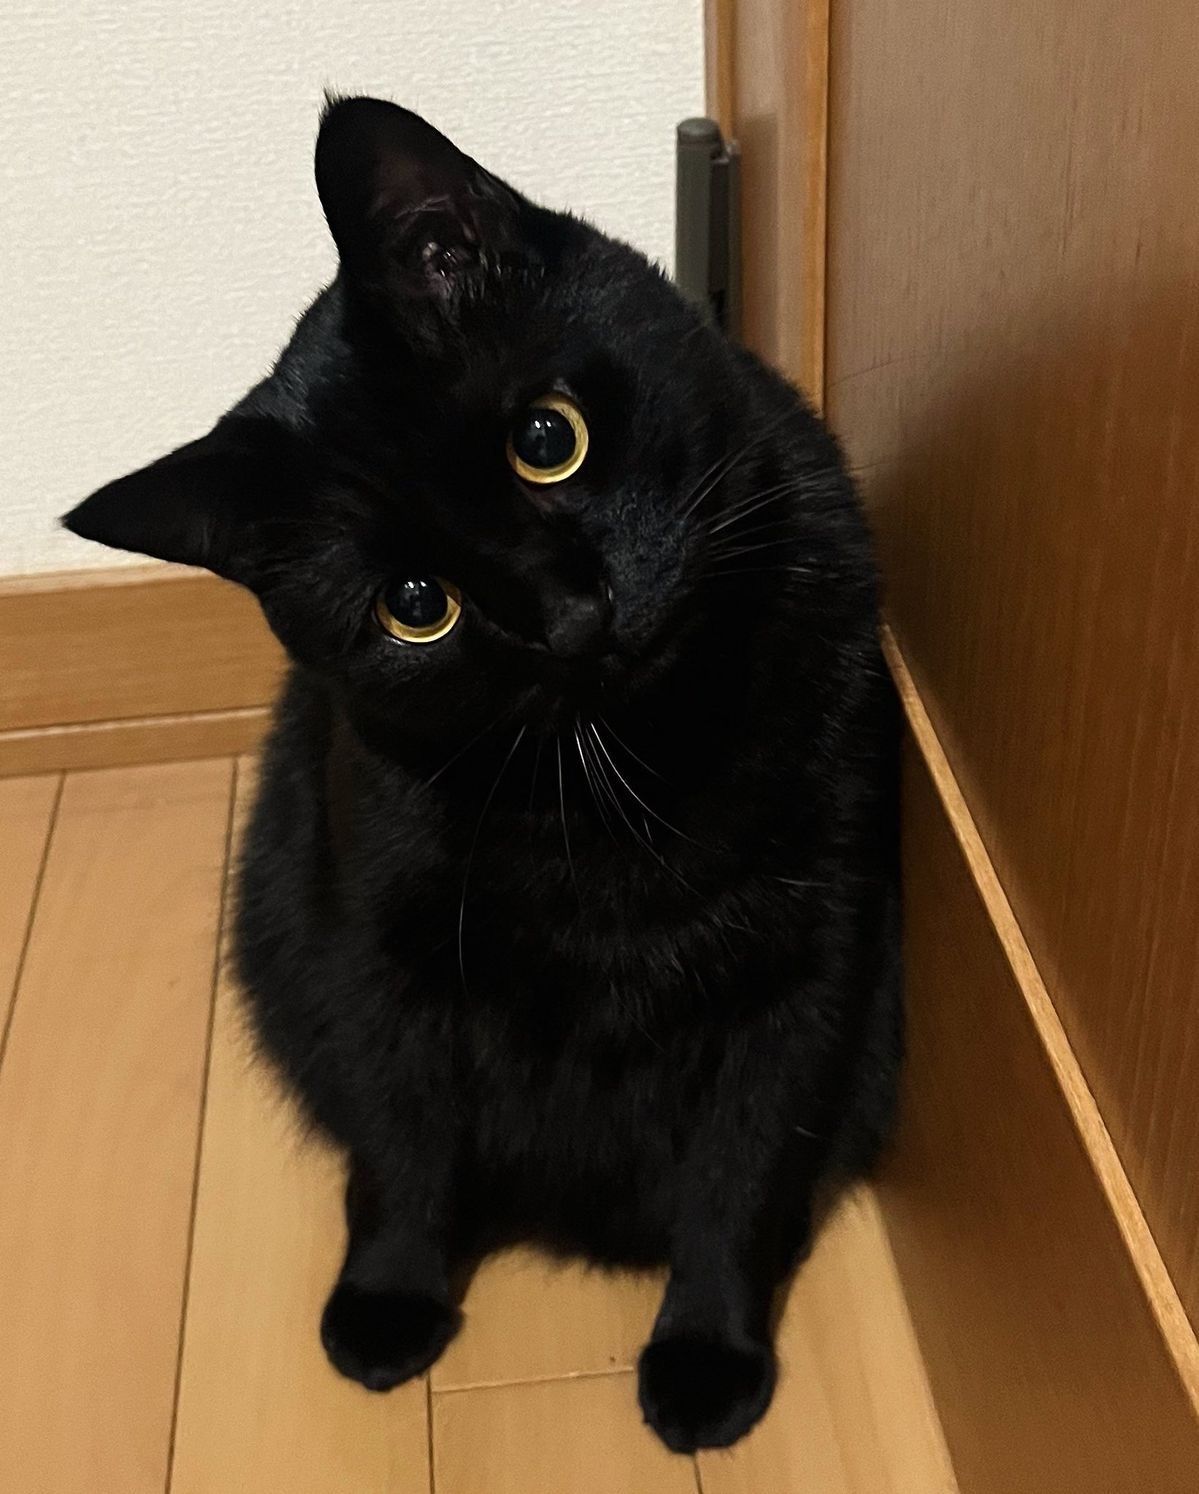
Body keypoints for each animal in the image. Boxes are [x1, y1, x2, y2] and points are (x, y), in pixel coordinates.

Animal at [64, 96, 901, 1454]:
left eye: (546, 440)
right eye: (416, 608)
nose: (577, 618)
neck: (631, 772)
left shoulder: (810, 960)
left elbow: (743, 1163)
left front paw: (706, 1355)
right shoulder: (378, 946)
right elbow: (403, 1137)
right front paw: (390, 1299)